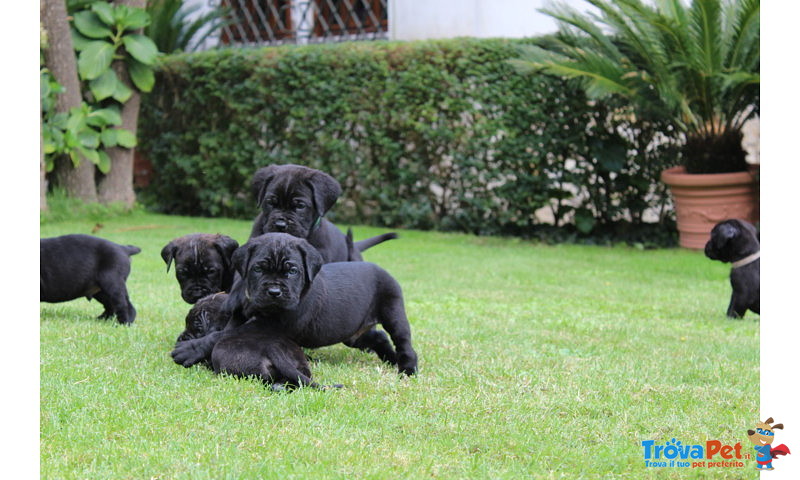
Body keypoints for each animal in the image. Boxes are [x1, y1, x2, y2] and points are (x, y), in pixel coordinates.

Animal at [171, 232, 416, 376]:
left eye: (292, 271)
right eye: (258, 268)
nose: (274, 292)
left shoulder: (267, 325)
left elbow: (219, 335)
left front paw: (188, 349)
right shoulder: (240, 316)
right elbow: (223, 331)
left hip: (393, 310)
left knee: (403, 341)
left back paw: (407, 368)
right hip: (352, 332)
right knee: (378, 337)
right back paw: (390, 359)